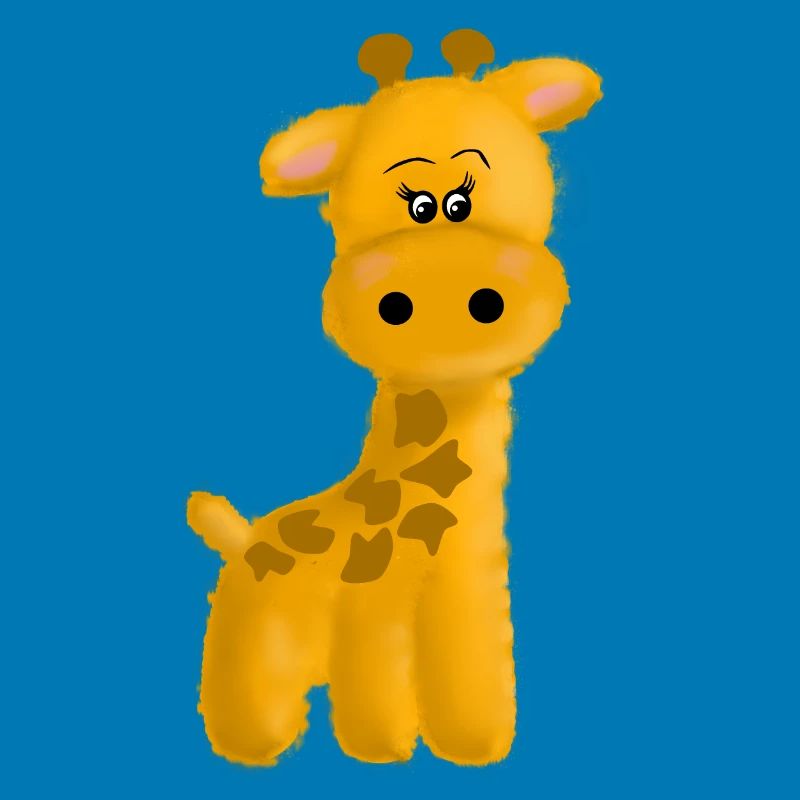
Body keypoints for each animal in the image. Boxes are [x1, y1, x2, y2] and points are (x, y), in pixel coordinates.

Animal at [187, 30, 602, 767]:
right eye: (417, 203)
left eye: (463, 201)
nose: (433, 300)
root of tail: (243, 536)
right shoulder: (370, 611)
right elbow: (375, 683)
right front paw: (381, 747)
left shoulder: (468, 598)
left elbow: (472, 674)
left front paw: (474, 744)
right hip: (254, 635)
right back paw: (254, 748)